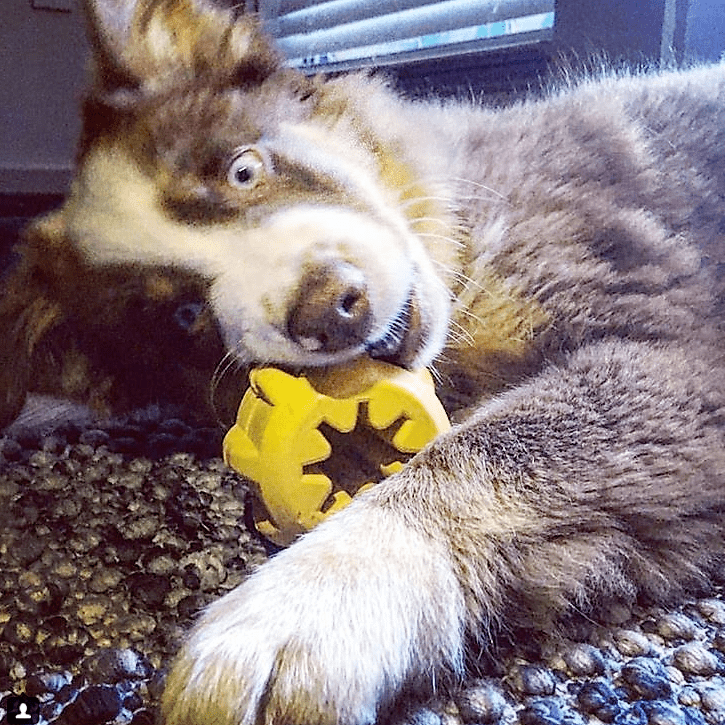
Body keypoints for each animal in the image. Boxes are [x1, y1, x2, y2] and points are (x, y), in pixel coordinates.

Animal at [1, 0, 724, 720]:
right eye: (184, 318)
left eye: (243, 169)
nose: (329, 309)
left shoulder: (671, 342)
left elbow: (479, 449)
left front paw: (299, 611)